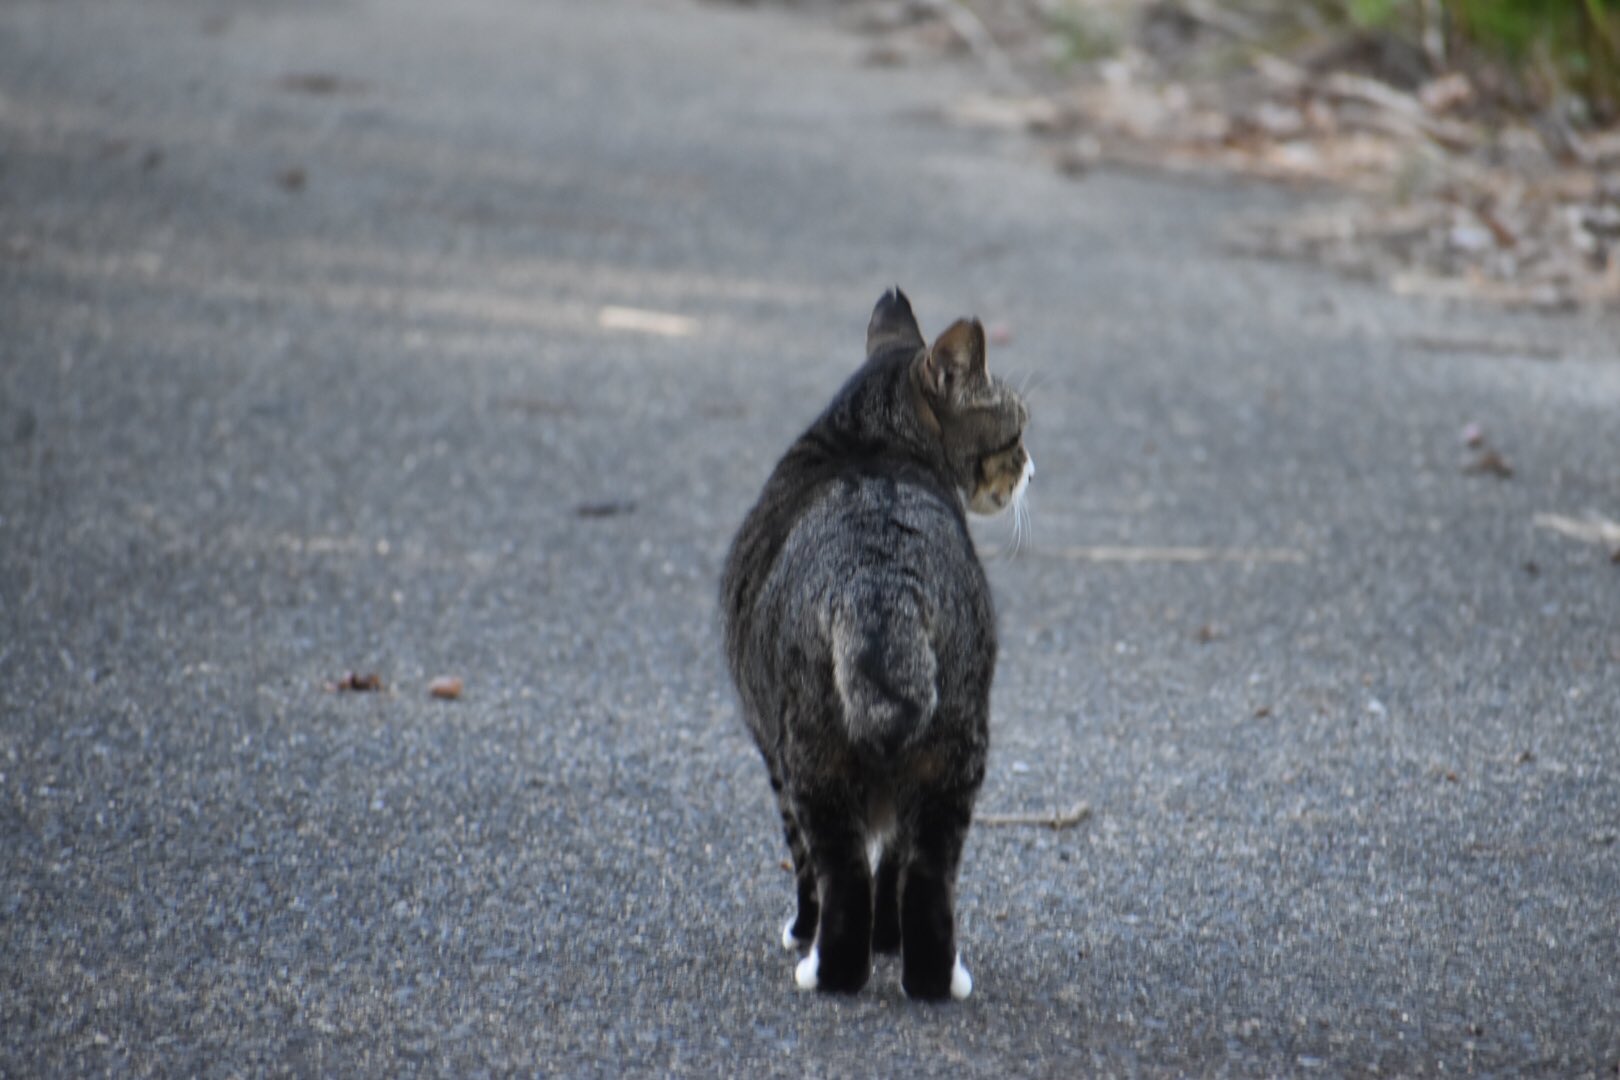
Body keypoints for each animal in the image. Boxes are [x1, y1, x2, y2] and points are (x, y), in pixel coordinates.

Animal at [725, 289, 1030, 1003]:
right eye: (1016, 432)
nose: (1031, 468)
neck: (867, 442)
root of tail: (881, 582)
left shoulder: (771, 752)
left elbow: (812, 867)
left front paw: (807, 935)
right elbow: (890, 861)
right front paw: (886, 942)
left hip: (812, 758)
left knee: (838, 875)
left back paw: (828, 971)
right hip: (953, 757)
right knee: (924, 877)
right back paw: (932, 978)